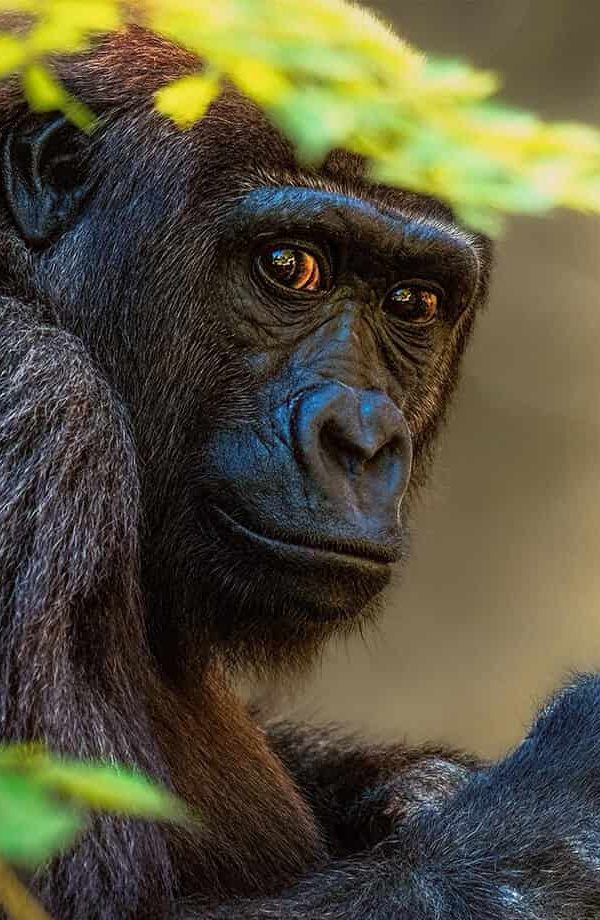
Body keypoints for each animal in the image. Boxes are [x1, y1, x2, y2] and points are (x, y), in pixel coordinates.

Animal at [1, 23, 600, 920]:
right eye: (288, 265)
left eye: (413, 302)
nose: (362, 437)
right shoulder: (38, 407)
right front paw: (560, 811)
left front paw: (416, 786)